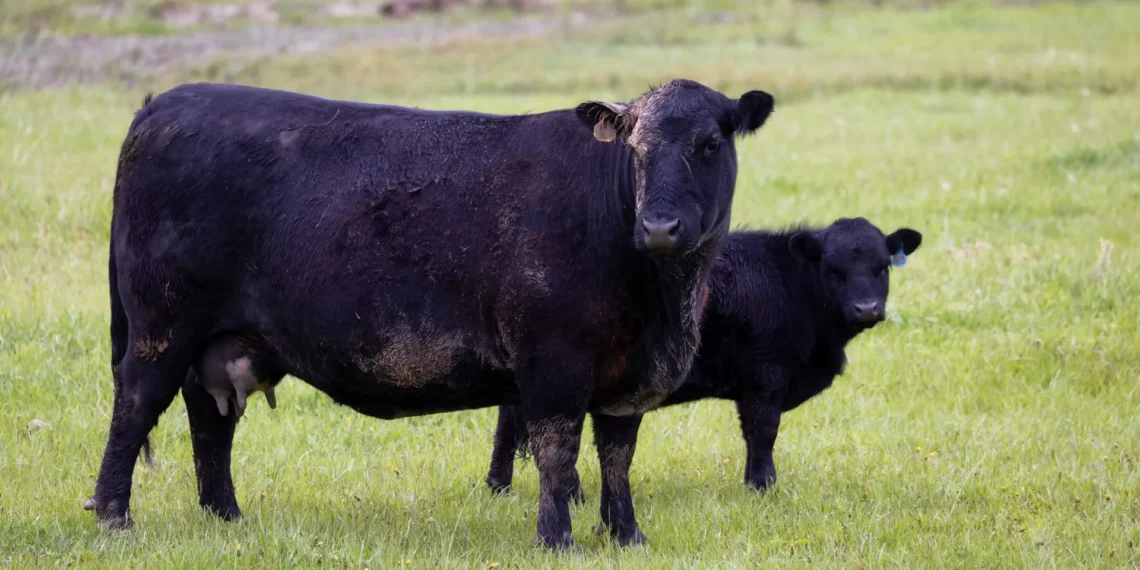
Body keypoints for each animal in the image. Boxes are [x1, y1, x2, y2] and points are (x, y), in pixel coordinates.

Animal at [88, 80, 775, 549]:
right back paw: (115, 517)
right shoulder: (552, 362)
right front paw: (557, 538)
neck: (661, 305)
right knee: (135, 410)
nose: (658, 226)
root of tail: (166, 102)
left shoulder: (628, 374)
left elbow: (617, 455)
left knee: (210, 422)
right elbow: (557, 452)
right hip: (159, 332)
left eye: (710, 144)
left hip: (221, 339)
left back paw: (225, 516)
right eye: (635, 149)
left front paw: (626, 534)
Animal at [485, 217, 923, 545]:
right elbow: (763, 433)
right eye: (833, 271)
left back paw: (500, 486)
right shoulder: (765, 377)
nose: (866, 308)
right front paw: (762, 486)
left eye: (882, 267)